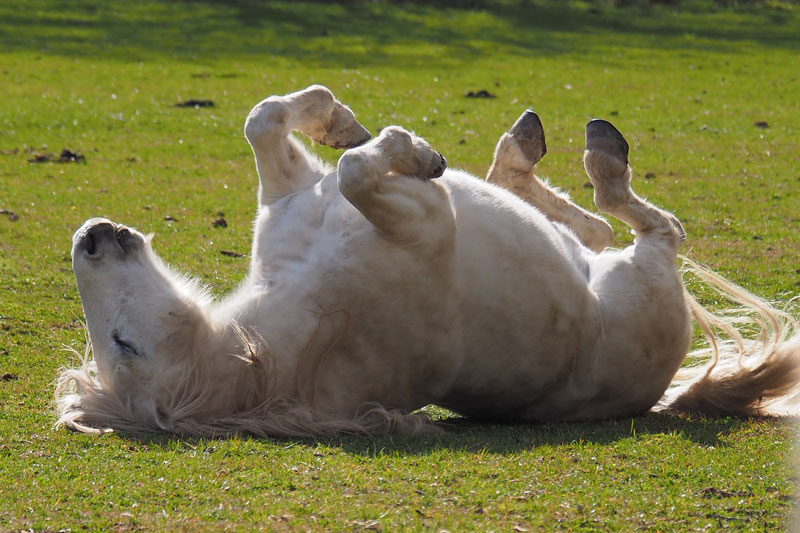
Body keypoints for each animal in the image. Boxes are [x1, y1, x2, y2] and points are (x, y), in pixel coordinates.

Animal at [56, 85, 800, 436]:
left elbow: (269, 121)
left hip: (596, 256)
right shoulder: (423, 222)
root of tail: (663, 389)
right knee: (649, 223)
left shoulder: (293, 193)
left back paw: (523, 149)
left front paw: (343, 122)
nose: (89, 236)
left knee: (586, 224)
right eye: (123, 344)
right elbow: (359, 171)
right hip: (644, 274)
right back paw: (597, 155)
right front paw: (408, 148)